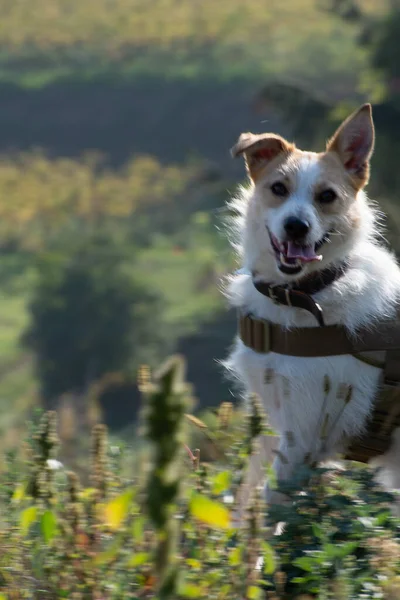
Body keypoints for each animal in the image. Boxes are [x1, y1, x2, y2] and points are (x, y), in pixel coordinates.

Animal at [223, 103, 400, 506]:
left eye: (327, 196)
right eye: (278, 188)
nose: (296, 226)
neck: (306, 295)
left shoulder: (301, 441)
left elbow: (270, 507)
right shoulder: (273, 425)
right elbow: (244, 498)